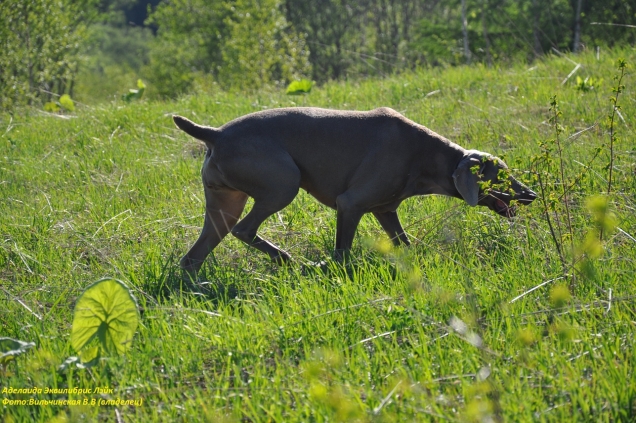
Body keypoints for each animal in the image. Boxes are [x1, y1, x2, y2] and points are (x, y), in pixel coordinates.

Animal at [171, 107, 536, 274]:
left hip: (224, 203)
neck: (427, 155)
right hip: (283, 183)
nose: (531, 194)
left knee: (194, 255)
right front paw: (333, 270)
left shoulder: (385, 210)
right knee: (244, 229)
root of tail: (216, 134)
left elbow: (404, 244)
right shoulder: (351, 204)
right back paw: (288, 259)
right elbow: (342, 252)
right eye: (503, 178)